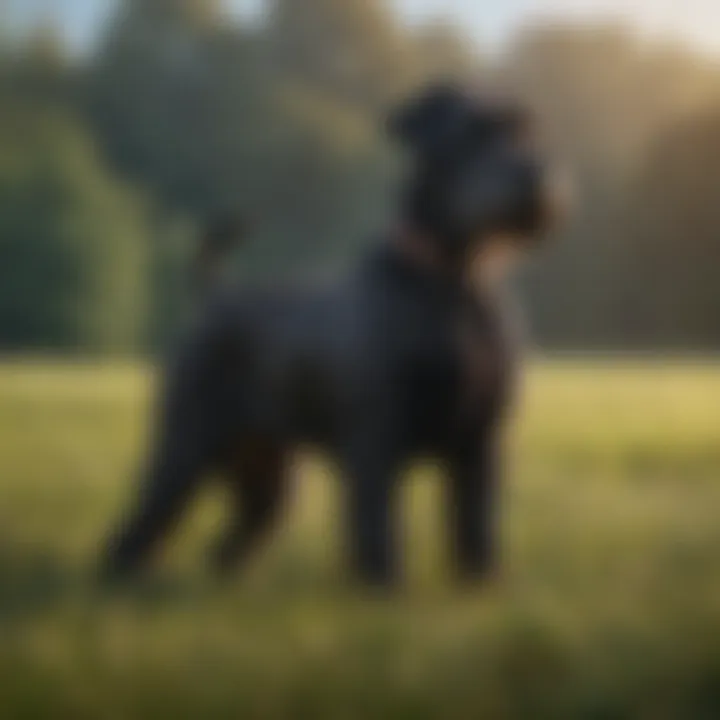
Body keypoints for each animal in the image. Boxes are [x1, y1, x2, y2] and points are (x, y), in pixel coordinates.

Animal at [102, 87, 556, 588]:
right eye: (472, 134)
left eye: (529, 131)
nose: (538, 177)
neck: (454, 281)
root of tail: (216, 298)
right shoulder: (377, 435)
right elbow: (379, 523)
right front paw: (386, 590)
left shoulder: (482, 439)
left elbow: (477, 527)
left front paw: (483, 587)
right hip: (184, 446)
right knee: (140, 525)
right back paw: (120, 579)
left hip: (271, 476)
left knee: (229, 541)